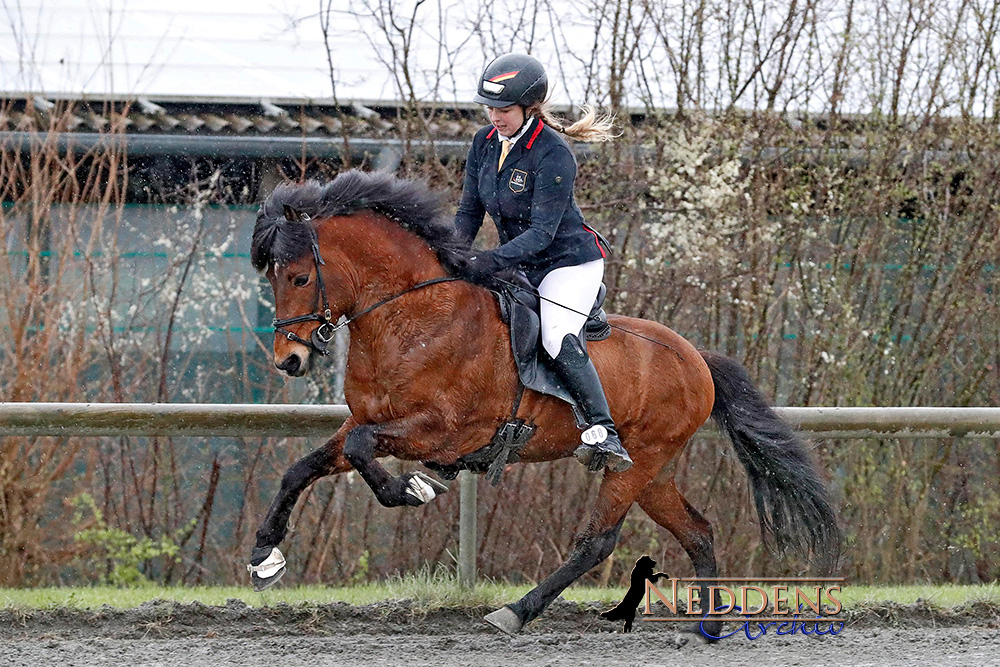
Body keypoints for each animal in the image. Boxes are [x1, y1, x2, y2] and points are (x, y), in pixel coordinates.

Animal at [246, 171, 840, 636]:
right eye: (273, 278)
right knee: (697, 530)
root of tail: (697, 358)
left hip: (637, 462)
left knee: (597, 541)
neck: (412, 317)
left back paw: (516, 611)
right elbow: (306, 466)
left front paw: (408, 488)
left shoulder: (446, 430)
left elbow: (365, 450)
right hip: (654, 470)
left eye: (300, 276)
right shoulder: (369, 419)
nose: (288, 360)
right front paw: (264, 555)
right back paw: (709, 623)